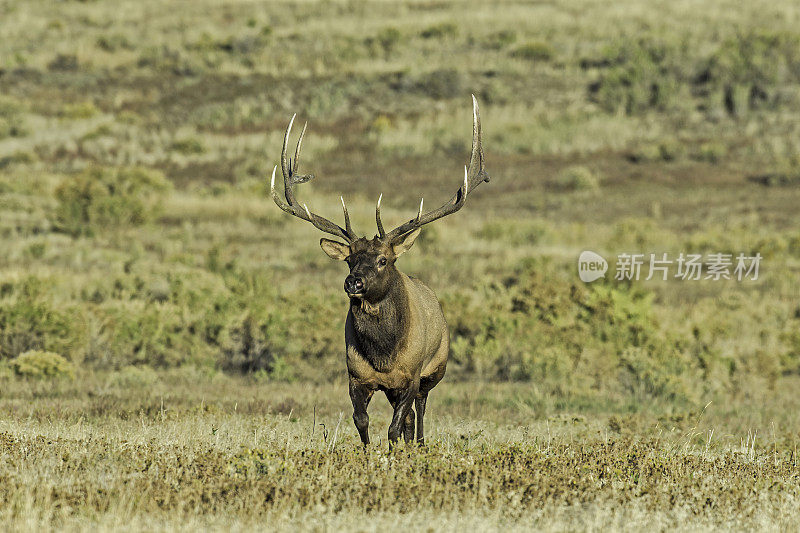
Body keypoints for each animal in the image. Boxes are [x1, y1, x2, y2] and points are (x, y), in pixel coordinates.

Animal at [268, 95, 488, 444]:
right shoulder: (357, 377)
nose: (353, 283)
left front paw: (393, 451)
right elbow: (362, 421)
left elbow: (395, 427)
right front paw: (370, 453)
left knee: (419, 414)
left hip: (434, 370)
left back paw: (420, 445)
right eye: (349, 259)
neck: (383, 356)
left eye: (384, 259)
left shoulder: (411, 377)